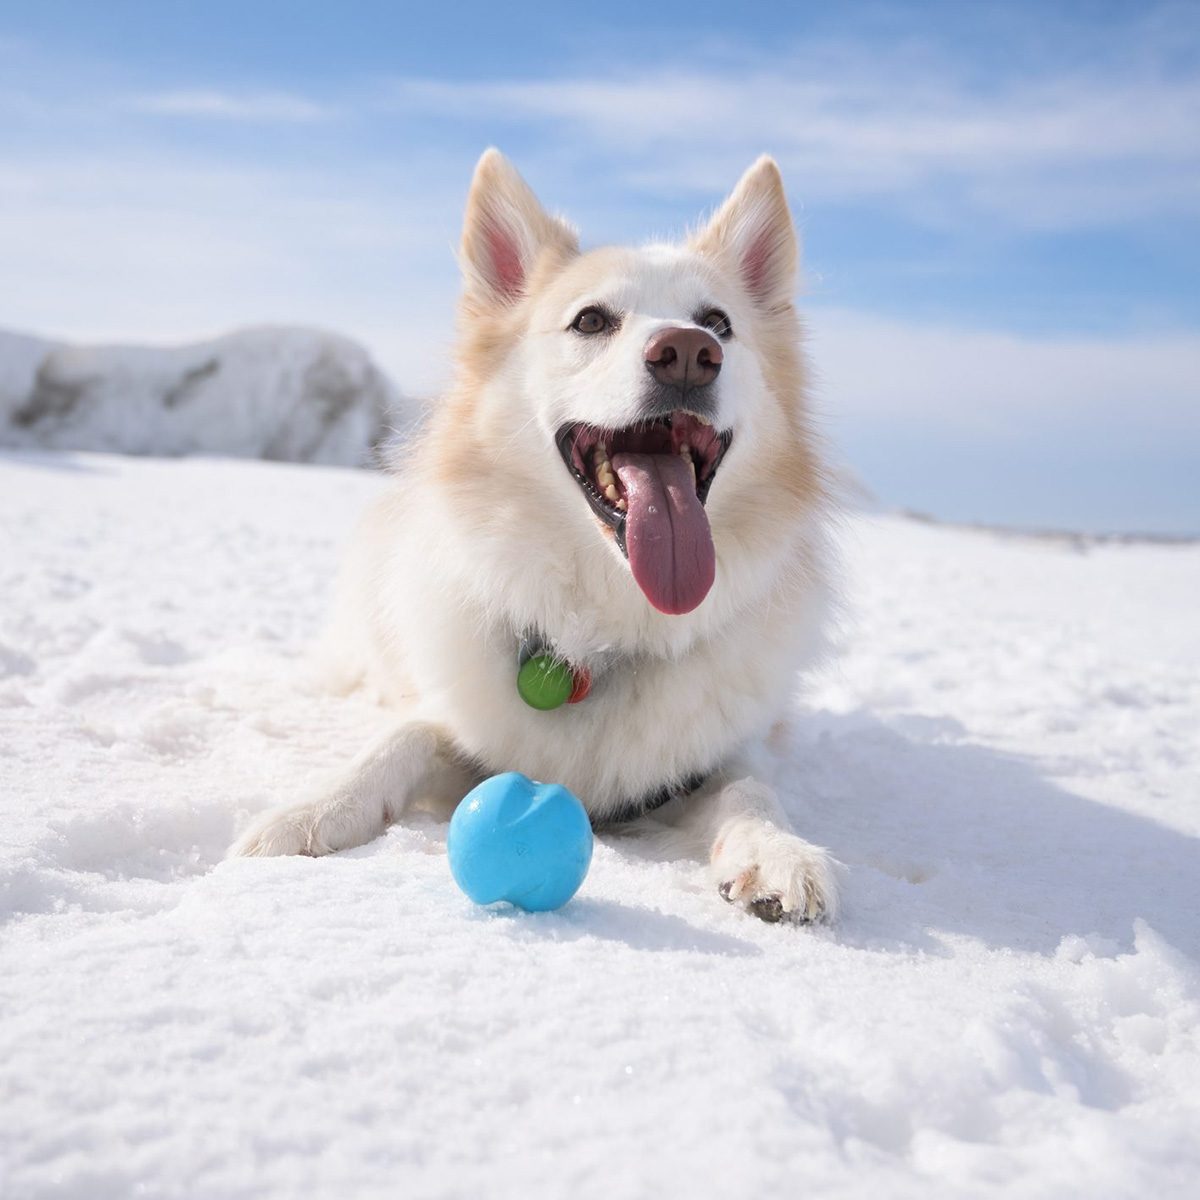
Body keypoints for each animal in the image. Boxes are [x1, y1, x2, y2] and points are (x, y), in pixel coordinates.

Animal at [229, 145, 840, 921]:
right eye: (591, 321)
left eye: (719, 323)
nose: (687, 351)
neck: (598, 640)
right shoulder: (466, 720)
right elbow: (404, 735)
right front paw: (311, 812)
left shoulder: (721, 751)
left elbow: (751, 787)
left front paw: (779, 855)